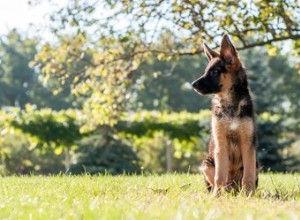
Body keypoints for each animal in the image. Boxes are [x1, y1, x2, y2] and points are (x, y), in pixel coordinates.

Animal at [192, 34, 258, 196]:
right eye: (206, 71)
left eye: (215, 72)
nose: (192, 85)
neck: (230, 104)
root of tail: (233, 188)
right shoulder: (221, 144)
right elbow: (219, 175)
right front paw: (217, 196)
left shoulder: (248, 144)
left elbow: (248, 175)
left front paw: (248, 195)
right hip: (207, 164)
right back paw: (219, 192)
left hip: (257, 164)